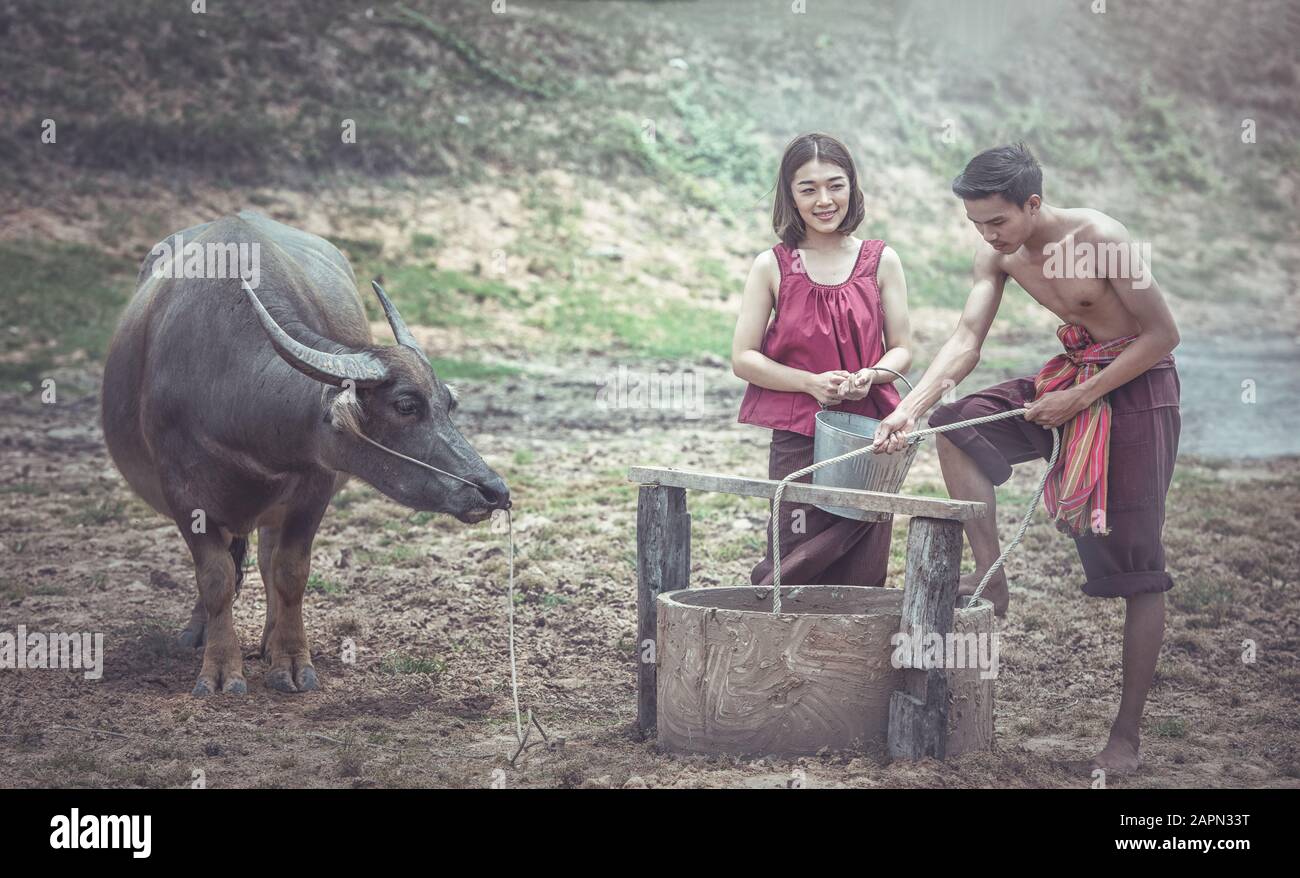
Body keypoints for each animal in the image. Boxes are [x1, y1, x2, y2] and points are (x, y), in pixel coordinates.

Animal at [102, 210, 506, 691]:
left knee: (266, 559)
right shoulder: (181, 494)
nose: (494, 491)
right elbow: (215, 578)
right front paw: (219, 670)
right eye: (407, 405)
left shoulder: (313, 487)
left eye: (448, 403)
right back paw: (199, 633)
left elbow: (290, 573)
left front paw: (291, 661)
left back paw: (269, 637)